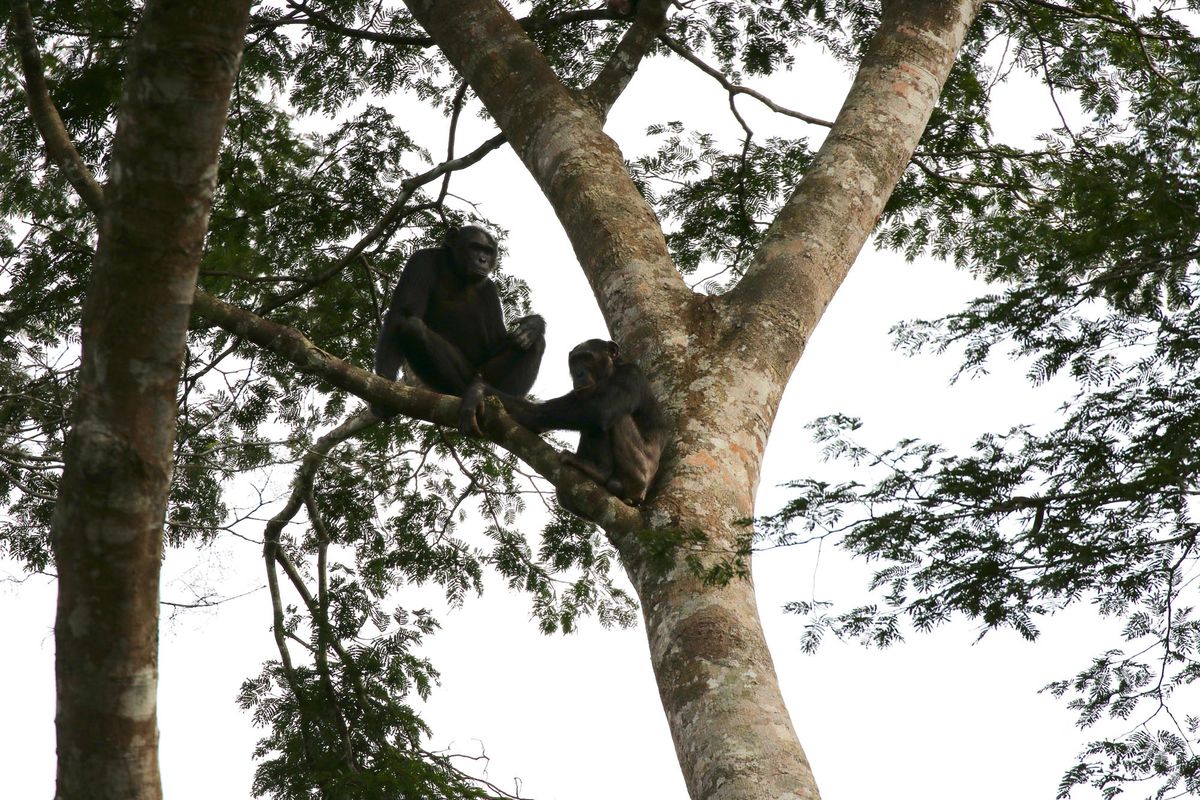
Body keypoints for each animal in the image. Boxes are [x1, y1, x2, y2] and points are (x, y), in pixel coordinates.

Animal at [372, 221, 547, 417]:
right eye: (475, 247)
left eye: (488, 251)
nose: (483, 260)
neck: (457, 273)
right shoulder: (420, 261)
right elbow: (402, 313)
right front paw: (383, 390)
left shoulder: (490, 291)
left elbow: (496, 341)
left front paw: (533, 324)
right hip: (468, 375)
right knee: (413, 327)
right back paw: (465, 393)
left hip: (489, 375)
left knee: (534, 342)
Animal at [458, 340, 667, 506]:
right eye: (574, 361)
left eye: (587, 357)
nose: (579, 373)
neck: (611, 372)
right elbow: (537, 415)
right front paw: (479, 392)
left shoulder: (630, 376)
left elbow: (602, 409)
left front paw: (478, 391)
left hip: (638, 471)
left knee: (609, 417)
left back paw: (599, 471)